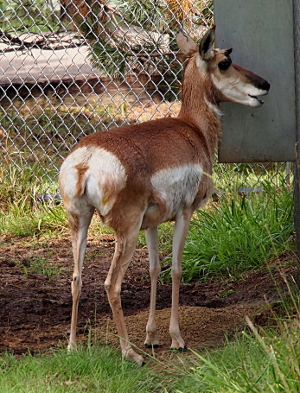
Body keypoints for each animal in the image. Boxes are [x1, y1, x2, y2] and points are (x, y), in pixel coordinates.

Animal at [58, 26, 270, 364]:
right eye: (225, 62)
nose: (265, 85)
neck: (192, 128)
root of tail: (86, 160)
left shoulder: (153, 224)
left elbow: (154, 270)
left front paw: (152, 336)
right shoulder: (185, 213)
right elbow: (177, 270)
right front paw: (175, 339)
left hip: (80, 223)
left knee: (76, 279)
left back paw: (73, 347)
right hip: (126, 231)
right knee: (111, 284)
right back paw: (129, 353)